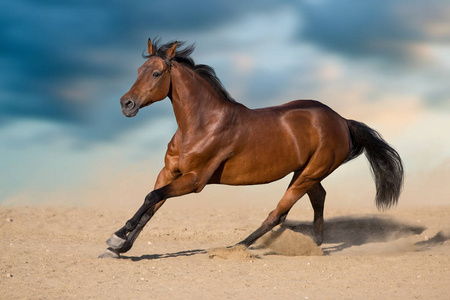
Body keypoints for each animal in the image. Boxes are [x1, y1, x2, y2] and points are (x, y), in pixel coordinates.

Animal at [99, 38, 404, 258]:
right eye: (138, 71)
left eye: (156, 73)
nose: (126, 104)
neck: (200, 125)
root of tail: (342, 120)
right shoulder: (168, 173)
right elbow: (151, 205)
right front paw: (120, 247)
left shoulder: (194, 181)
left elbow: (151, 198)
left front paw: (117, 237)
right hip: (304, 173)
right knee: (318, 198)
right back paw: (315, 244)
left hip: (309, 174)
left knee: (278, 214)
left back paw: (235, 247)